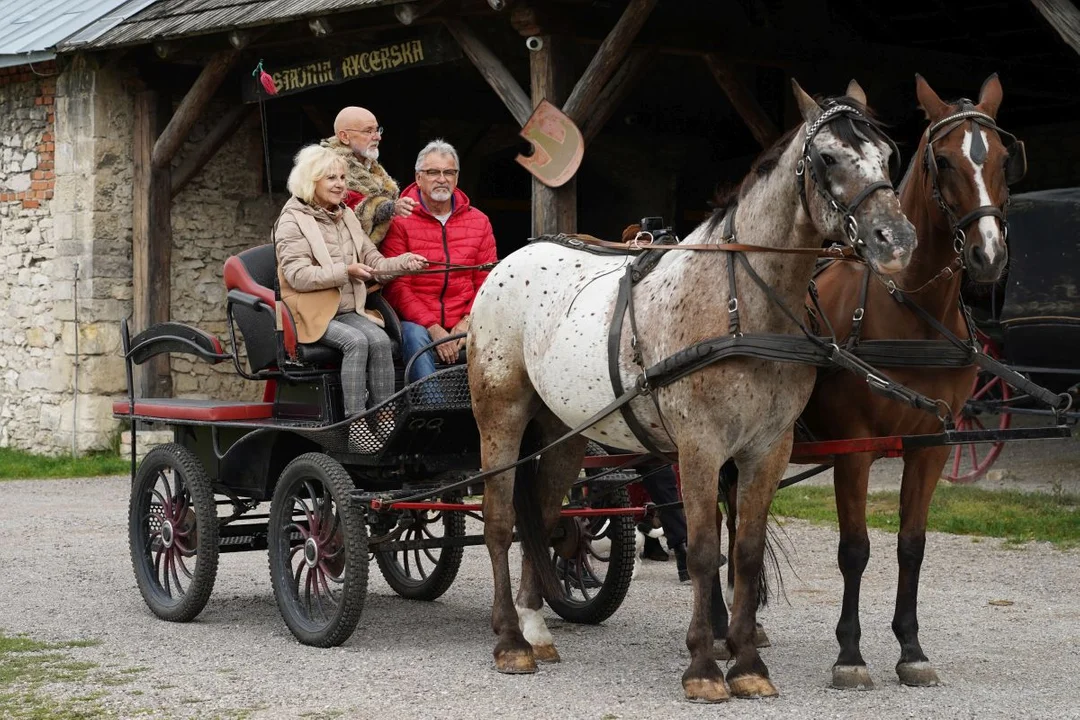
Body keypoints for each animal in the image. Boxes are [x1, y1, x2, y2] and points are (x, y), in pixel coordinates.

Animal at [468, 80, 915, 703]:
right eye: (827, 157)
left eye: (888, 156)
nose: (895, 240)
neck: (741, 306)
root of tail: (511, 260)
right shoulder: (700, 447)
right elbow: (704, 552)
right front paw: (704, 667)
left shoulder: (767, 448)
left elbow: (744, 553)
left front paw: (748, 664)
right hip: (501, 414)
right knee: (500, 519)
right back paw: (510, 640)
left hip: (563, 431)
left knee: (549, 511)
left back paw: (535, 629)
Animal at [799, 76, 1023, 690]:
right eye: (942, 161)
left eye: (1003, 159)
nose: (988, 255)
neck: (911, 313)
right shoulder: (853, 447)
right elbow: (855, 549)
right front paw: (850, 654)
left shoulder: (931, 444)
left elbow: (912, 545)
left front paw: (911, 648)